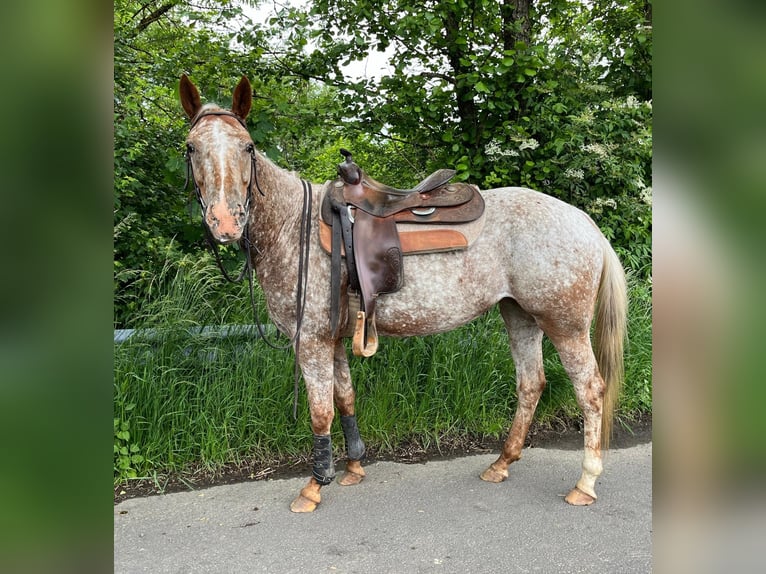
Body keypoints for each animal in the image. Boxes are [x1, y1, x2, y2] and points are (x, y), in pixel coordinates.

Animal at [180, 75, 632, 512]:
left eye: (247, 146)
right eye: (191, 146)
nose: (226, 221)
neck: (293, 227)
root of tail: (585, 223)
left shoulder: (310, 341)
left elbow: (321, 412)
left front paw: (314, 486)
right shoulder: (334, 340)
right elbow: (345, 398)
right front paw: (353, 467)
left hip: (565, 325)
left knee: (590, 390)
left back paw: (585, 483)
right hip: (519, 315)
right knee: (531, 383)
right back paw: (502, 463)